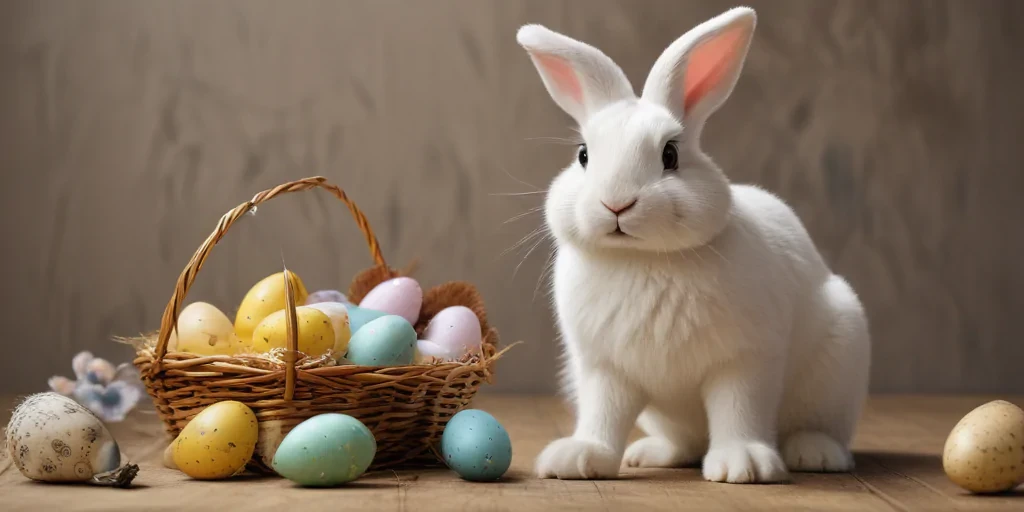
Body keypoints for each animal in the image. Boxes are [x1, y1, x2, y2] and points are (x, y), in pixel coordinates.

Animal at [515, 6, 871, 483]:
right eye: (583, 155)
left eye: (670, 155)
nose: (616, 203)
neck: (642, 260)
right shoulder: (603, 368)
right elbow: (602, 415)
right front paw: (579, 458)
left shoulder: (746, 360)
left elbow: (738, 410)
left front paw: (742, 464)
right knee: (683, 442)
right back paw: (650, 454)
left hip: (838, 365)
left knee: (817, 428)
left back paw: (814, 454)